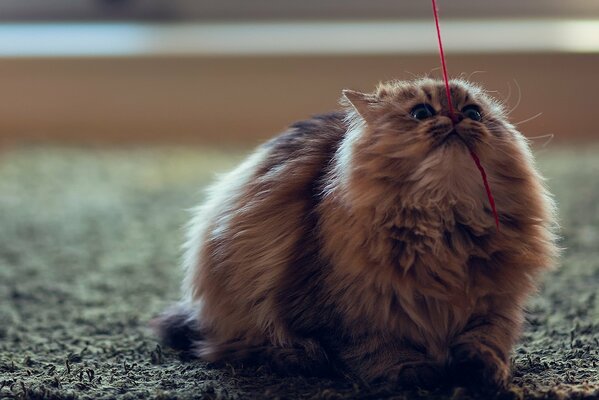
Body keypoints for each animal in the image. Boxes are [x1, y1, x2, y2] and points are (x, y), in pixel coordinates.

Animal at [154, 79, 556, 390]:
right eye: (421, 113)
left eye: (473, 113)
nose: (456, 119)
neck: (445, 225)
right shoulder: (347, 309)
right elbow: (377, 346)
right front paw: (412, 374)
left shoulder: (494, 300)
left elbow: (486, 339)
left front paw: (483, 372)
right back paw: (299, 358)